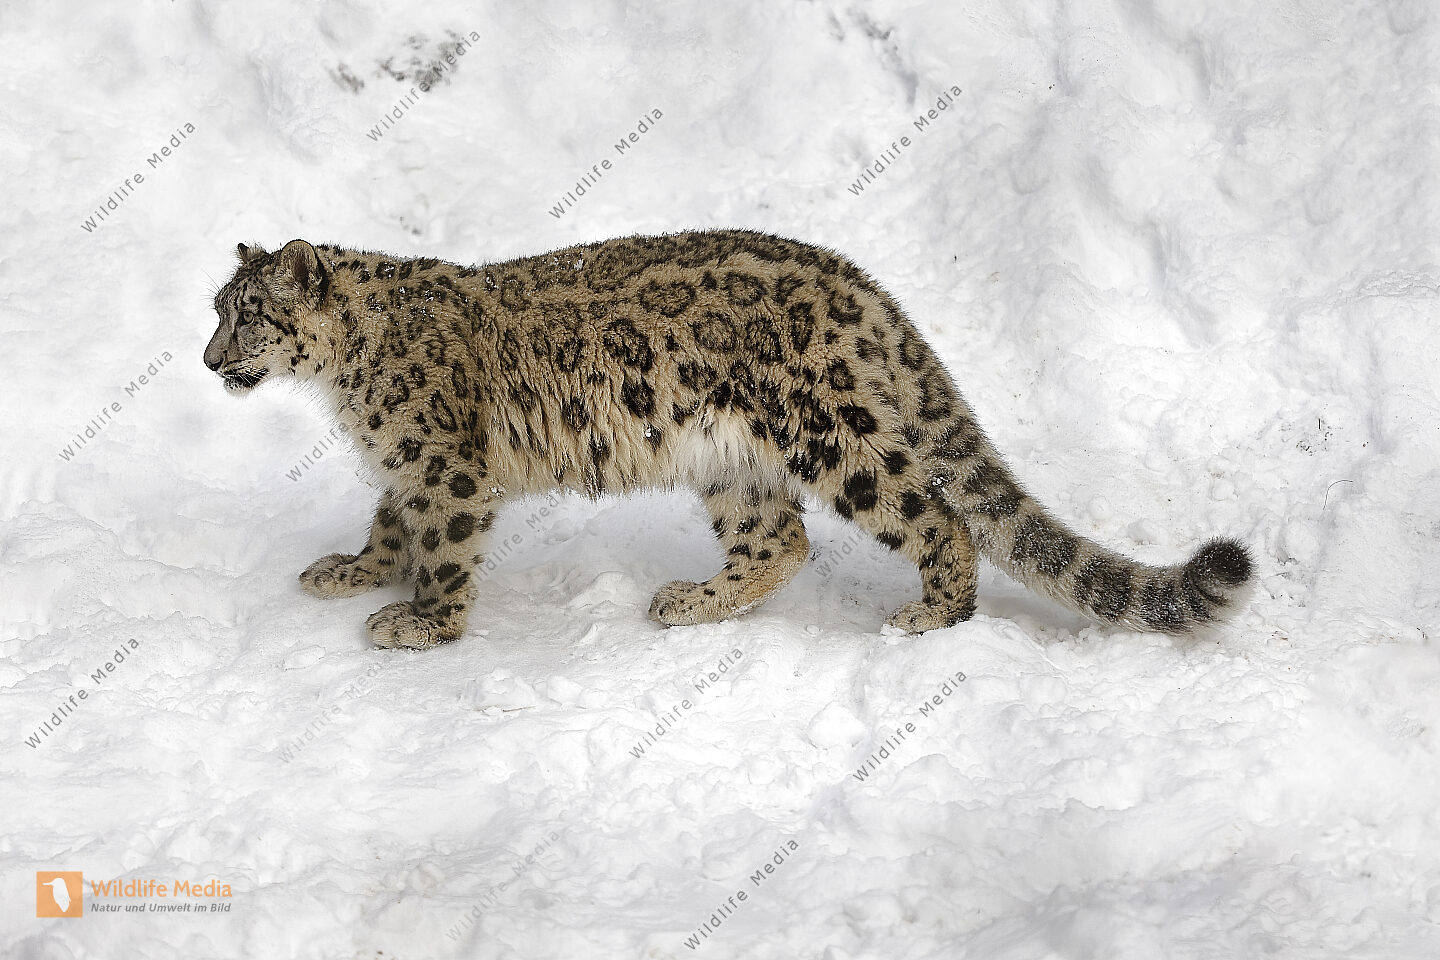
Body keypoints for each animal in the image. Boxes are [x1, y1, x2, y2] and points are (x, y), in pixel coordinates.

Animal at [203, 230, 1254, 649]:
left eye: (246, 314)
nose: (210, 362)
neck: (346, 381)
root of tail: (865, 288)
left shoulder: (444, 461)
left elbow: (446, 544)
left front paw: (423, 623)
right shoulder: (408, 463)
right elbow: (391, 521)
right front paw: (352, 570)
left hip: (835, 438)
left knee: (935, 516)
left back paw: (929, 615)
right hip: (731, 462)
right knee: (777, 540)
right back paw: (690, 603)